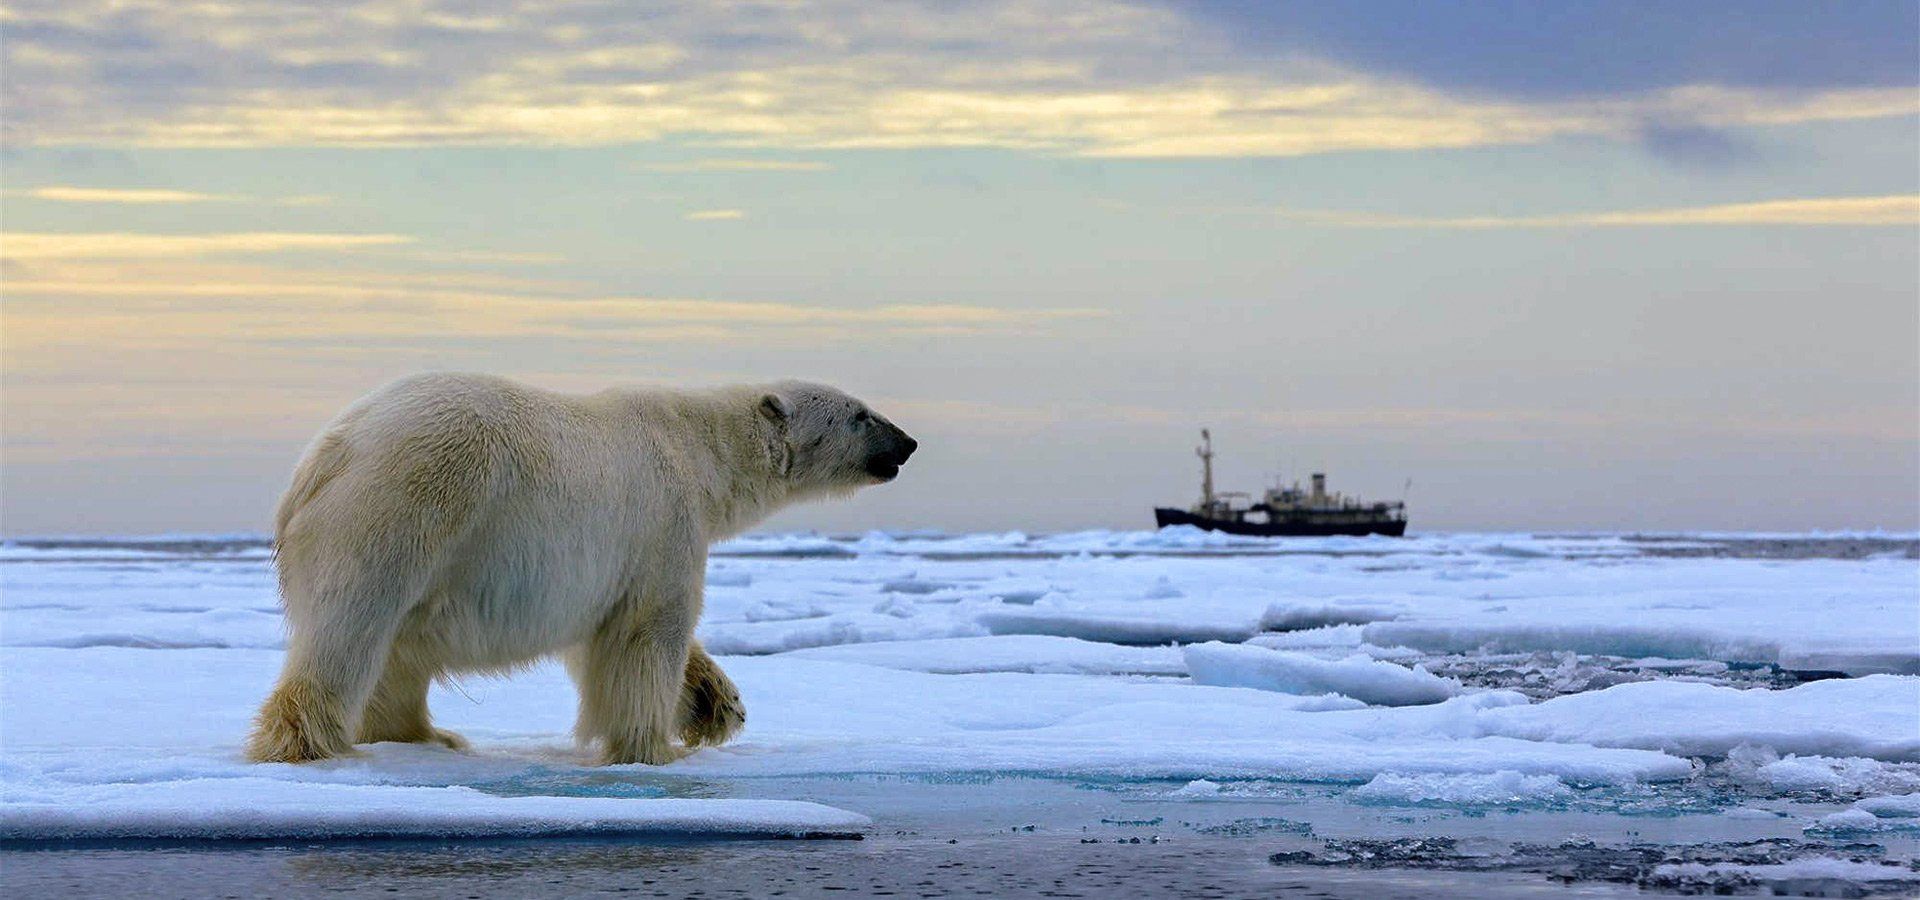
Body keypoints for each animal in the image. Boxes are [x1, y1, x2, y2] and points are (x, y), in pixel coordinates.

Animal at [245, 372, 916, 766]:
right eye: (859, 414)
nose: (907, 443)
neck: (701, 450)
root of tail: (326, 457)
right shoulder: (662, 518)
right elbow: (651, 631)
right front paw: (653, 747)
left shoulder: (596, 565)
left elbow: (601, 631)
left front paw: (715, 705)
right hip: (407, 503)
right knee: (353, 628)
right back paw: (307, 742)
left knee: (398, 649)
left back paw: (429, 736)